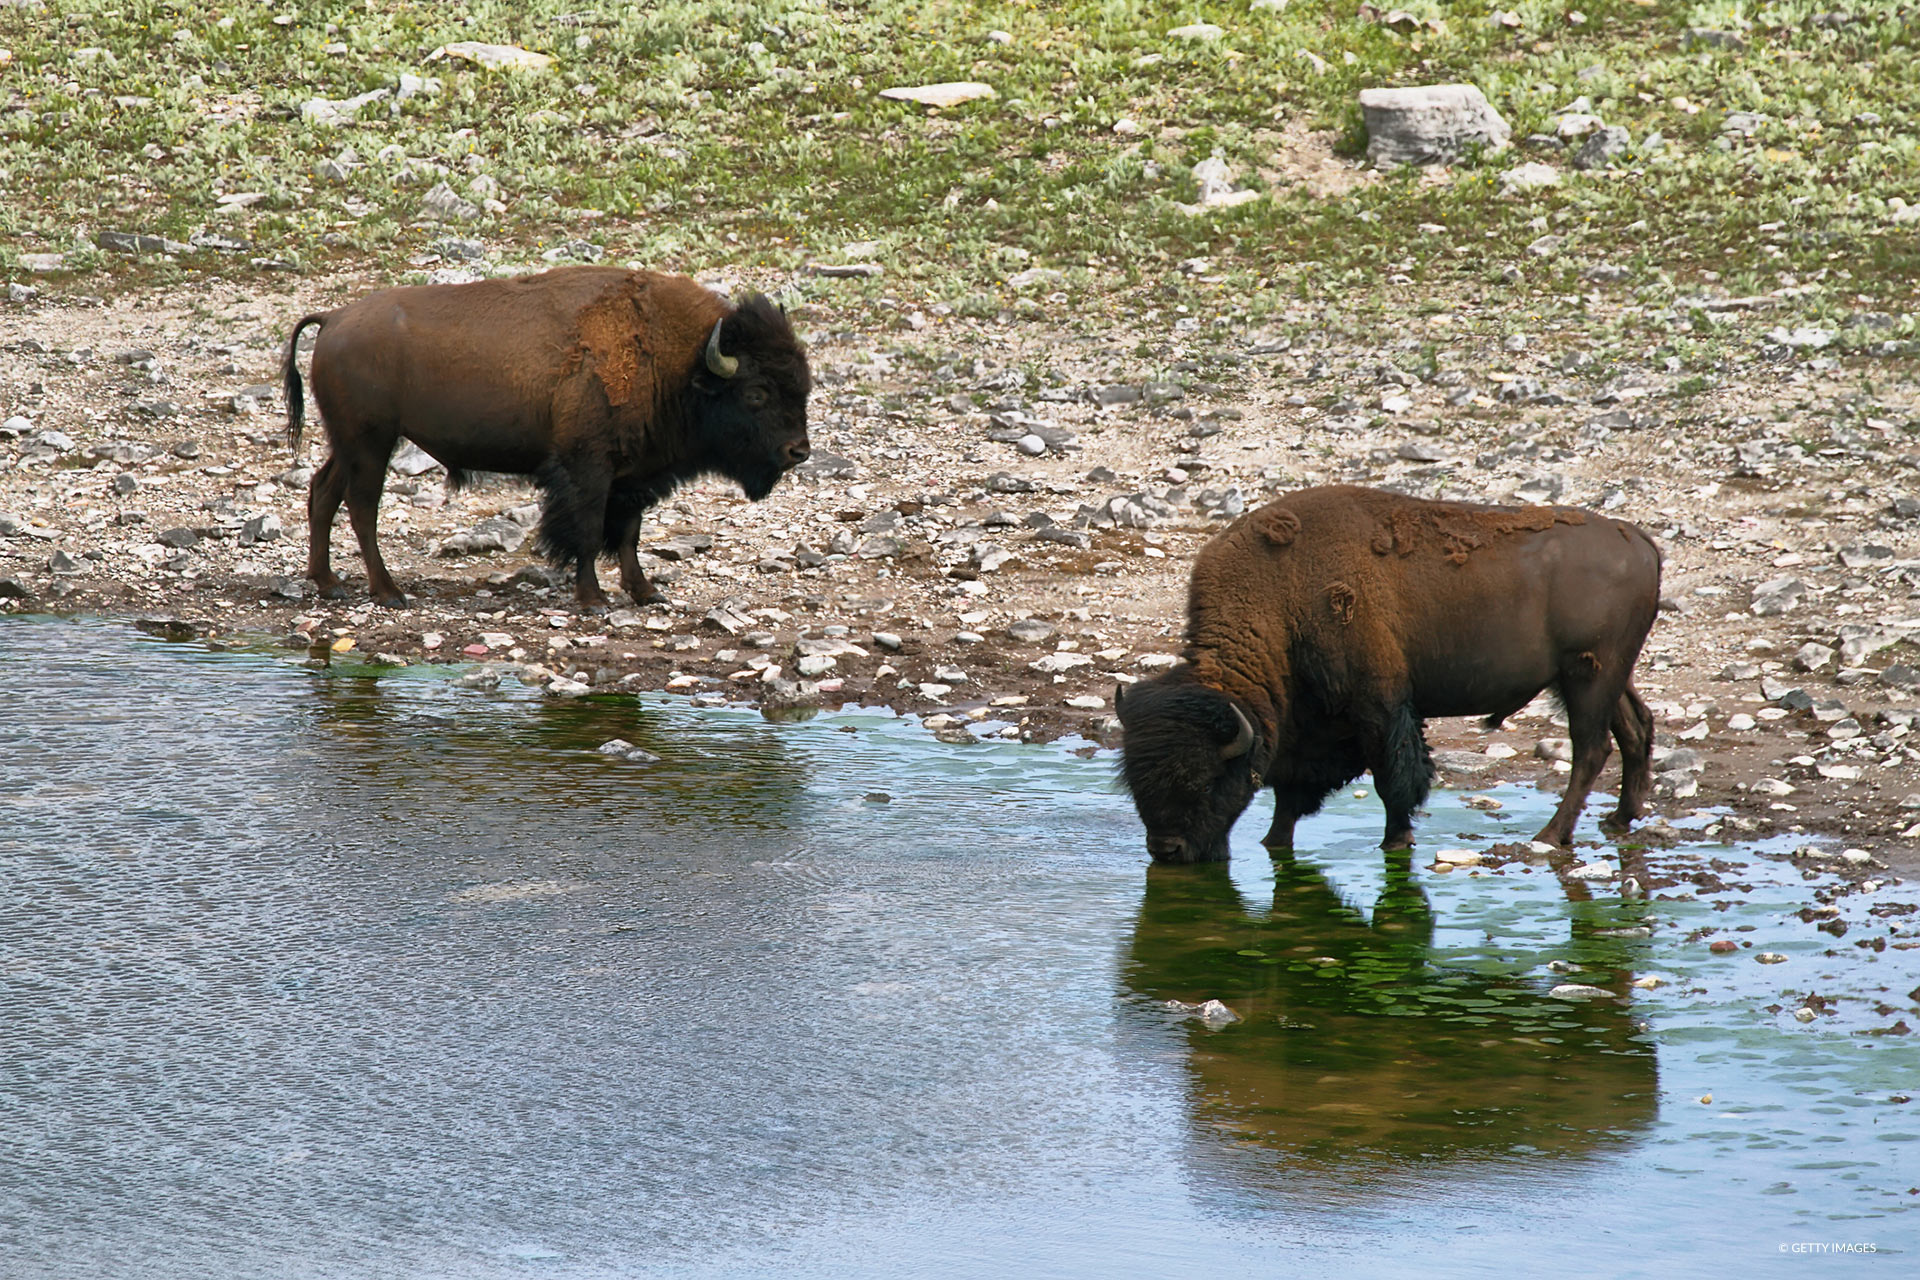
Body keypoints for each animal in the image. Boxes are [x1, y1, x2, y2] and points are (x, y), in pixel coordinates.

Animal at [281, 266, 811, 609]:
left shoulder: (632, 476)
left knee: (323, 492)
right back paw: (389, 593)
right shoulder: (587, 468)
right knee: (361, 507)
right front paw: (593, 599)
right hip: (371, 444)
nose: (799, 451)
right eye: (758, 392)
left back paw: (328, 582)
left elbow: (629, 534)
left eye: (803, 384)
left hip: (348, 445)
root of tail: (333, 318)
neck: (680, 364)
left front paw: (645, 592)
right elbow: (588, 531)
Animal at [1116, 485, 1662, 862]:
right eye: (1135, 781)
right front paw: (1274, 842)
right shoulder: (1311, 724)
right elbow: (1292, 789)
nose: (1167, 850)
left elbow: (1393, 776)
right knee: (1636, 728)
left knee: (1591, 749)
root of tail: (1639, 540)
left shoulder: (1378, 705)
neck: (1282, 596)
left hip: (1586, 677)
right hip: (1605, 678)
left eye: (1208, 780)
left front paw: (1395, 840)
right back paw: (1620, 819)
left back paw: (1550, 835)